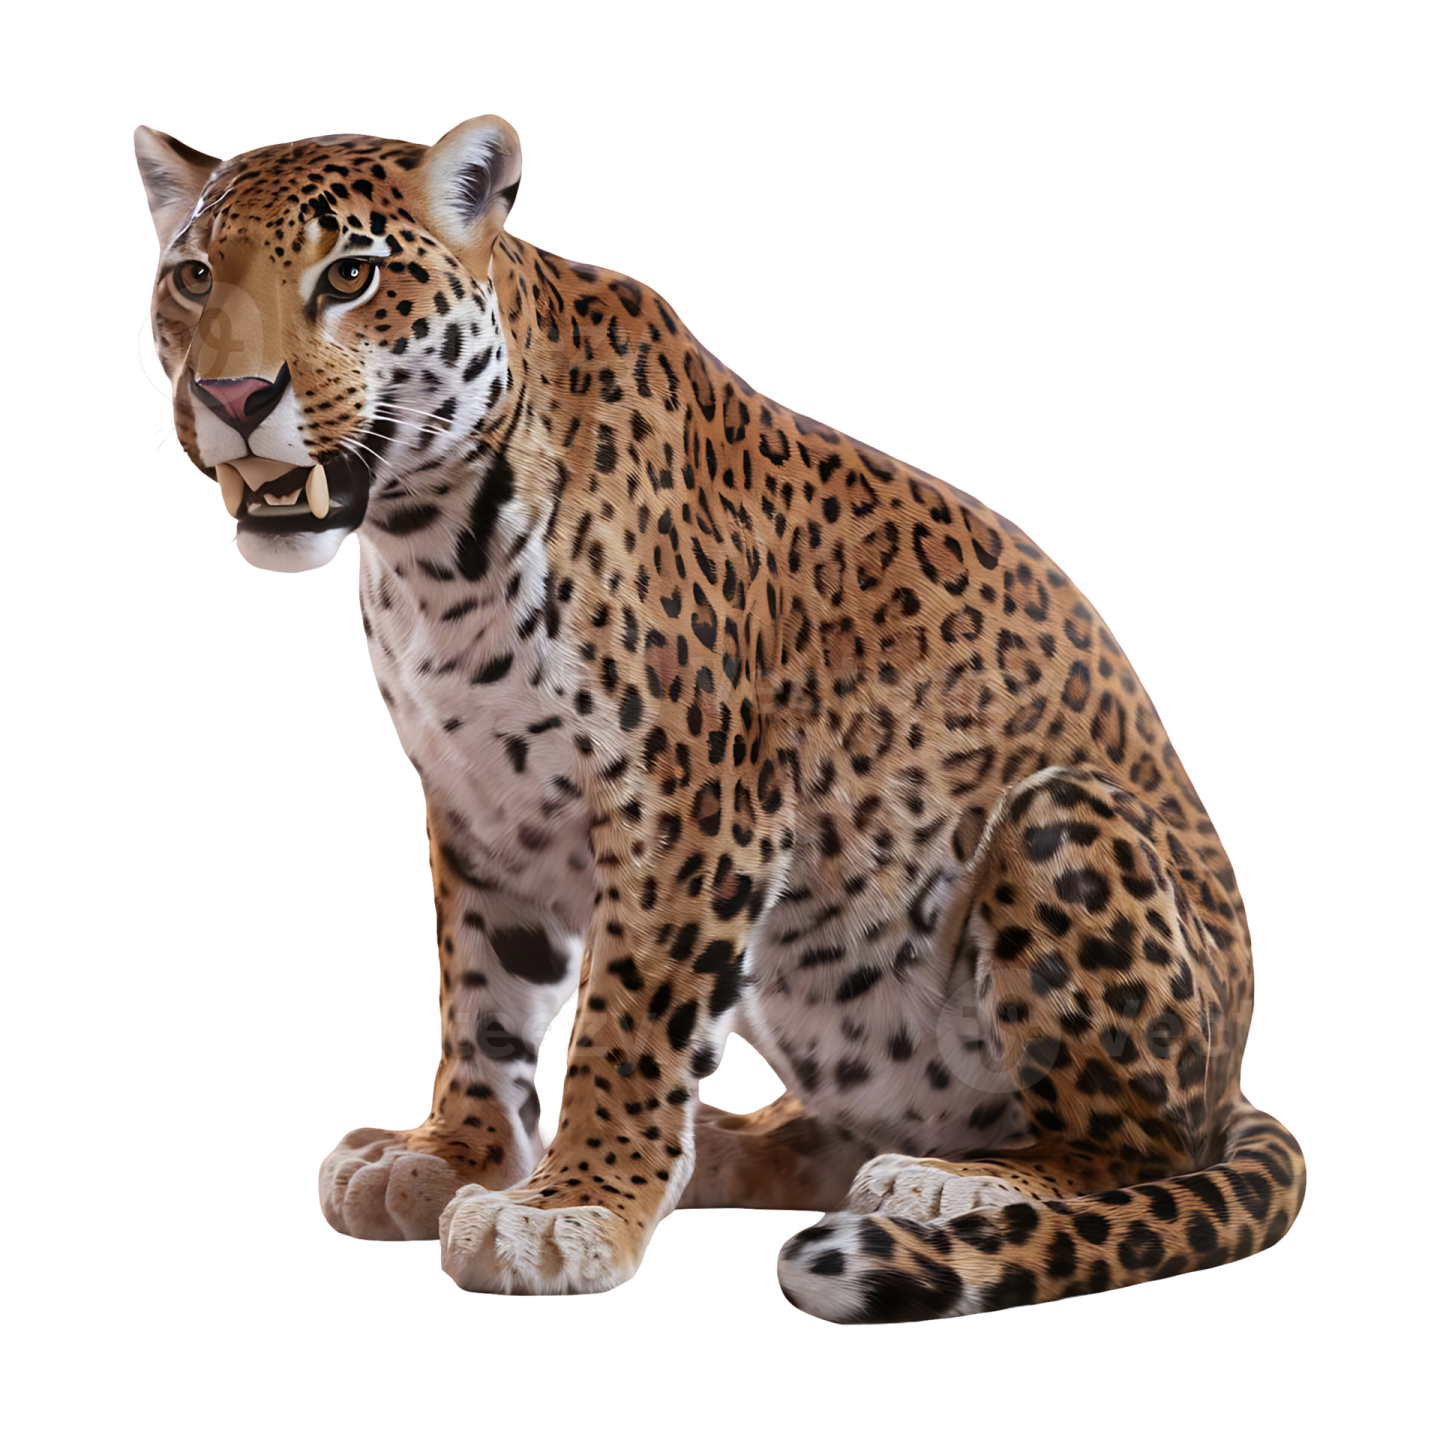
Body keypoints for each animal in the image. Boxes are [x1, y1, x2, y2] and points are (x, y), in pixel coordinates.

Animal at [134, 115, 1306, 1322]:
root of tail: (1234, 1070)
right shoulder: (479, 808)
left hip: (1064, 819)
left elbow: (627, 1017)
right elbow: (482, 994)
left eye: (350, 278)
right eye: (193, 277)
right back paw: (733, 1149)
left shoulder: (689, 806)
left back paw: (953, 1184)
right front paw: (453, 1155)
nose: (232, 399)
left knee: (1135, 1149)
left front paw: (570, 1206)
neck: (429, 548)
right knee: (830, 1135)